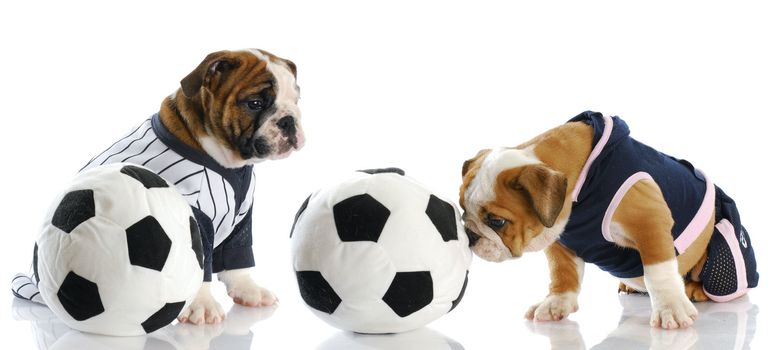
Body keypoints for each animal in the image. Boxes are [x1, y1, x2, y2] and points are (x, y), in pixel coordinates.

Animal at [79, 47, 304, 324]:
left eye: (296, 100)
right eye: (255, 104)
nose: (289, 120)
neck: (230, 162)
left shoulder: (242, 219)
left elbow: (238, 256)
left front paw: (247, 289)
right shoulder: (196, 216)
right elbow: (201, 264)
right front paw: (202, 304)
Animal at [462, 111, 756, 328]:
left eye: (497, 222)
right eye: (463, 211)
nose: (470, 235)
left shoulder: (649, 220)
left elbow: (658, 271)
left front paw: (670, 308)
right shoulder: (560, 240)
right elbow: (563, 273)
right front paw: (556, 303)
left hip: (724, 254)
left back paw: (696, 289)